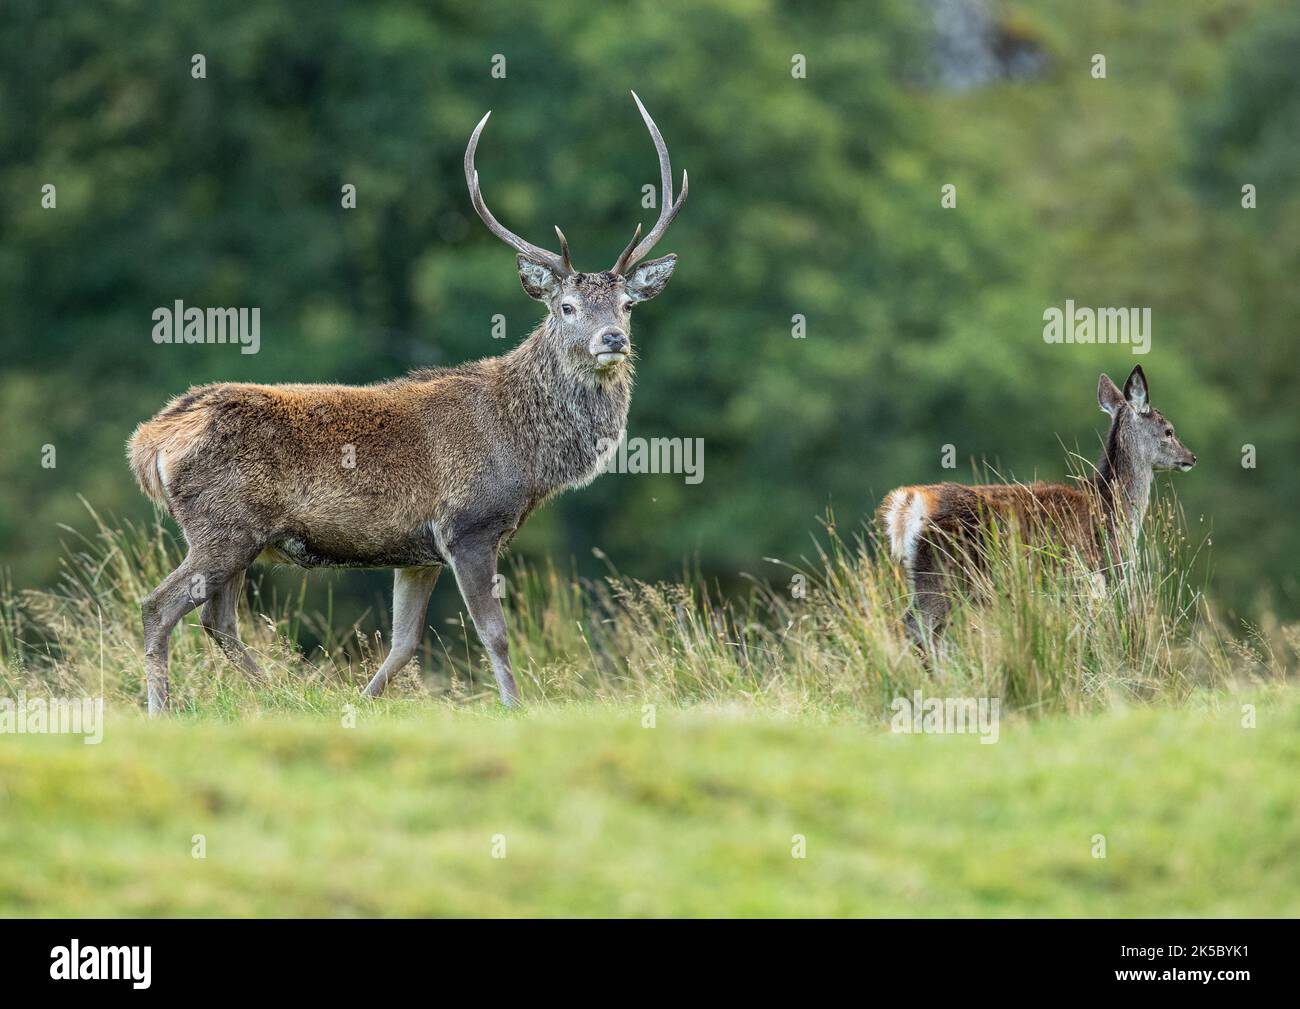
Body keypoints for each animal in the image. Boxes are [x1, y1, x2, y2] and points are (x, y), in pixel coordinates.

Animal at [125, 90, 686, 712]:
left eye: (627, 305)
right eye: (565, 306)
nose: (612, 339)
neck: (528, 456)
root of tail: (150, 442)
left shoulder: (418, 551)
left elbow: (403, 644)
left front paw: (361, 703)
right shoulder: (469, 525)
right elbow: (494, 633)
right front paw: (516, 709)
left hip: (235, 535)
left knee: (217, 621)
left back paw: (281, 696)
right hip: (223, 526)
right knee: (158, 607)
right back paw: (163, 709)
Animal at [873, 366, 1196, 650]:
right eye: (1169, 430)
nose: (1191, 457)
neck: (1111, 512)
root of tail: (907, 506)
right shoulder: (1094, 575)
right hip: (943, 572)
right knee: (913, 629)